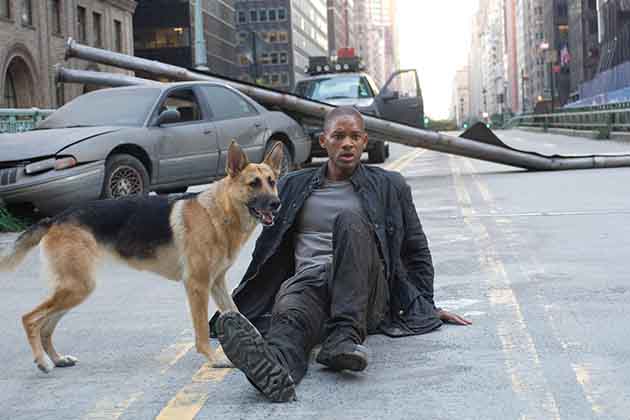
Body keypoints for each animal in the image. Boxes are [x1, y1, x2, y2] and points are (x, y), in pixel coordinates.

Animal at [0, 141, 283, 373]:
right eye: (253, 184)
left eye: (272, 181)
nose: (277, 204)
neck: (219, 213)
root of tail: (55, 218)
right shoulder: (198, 286)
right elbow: (202, 331)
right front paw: (214, 359)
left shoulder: (217, 285)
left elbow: (241, 316)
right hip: (76, 288)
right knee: (31, 319)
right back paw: (43, 361)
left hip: (74, 290)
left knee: (46, 326)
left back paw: (57, 359)